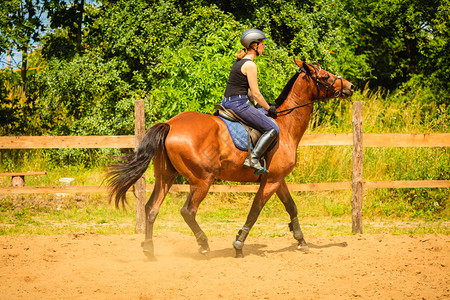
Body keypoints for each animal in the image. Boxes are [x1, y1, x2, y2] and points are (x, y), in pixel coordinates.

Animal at [107, 58, 354, 258]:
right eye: (325, 76)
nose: (350, 87)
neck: (285, 126)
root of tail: (170, 124)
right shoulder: (271, 181)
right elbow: (255, 211)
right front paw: (238, 245)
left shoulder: (277, 179)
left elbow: (291, 207)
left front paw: (301, 240)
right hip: (202, 180)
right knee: (188, 211)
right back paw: (204, 245)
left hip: (166, 176)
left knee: (151, 208)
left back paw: (149, 249)